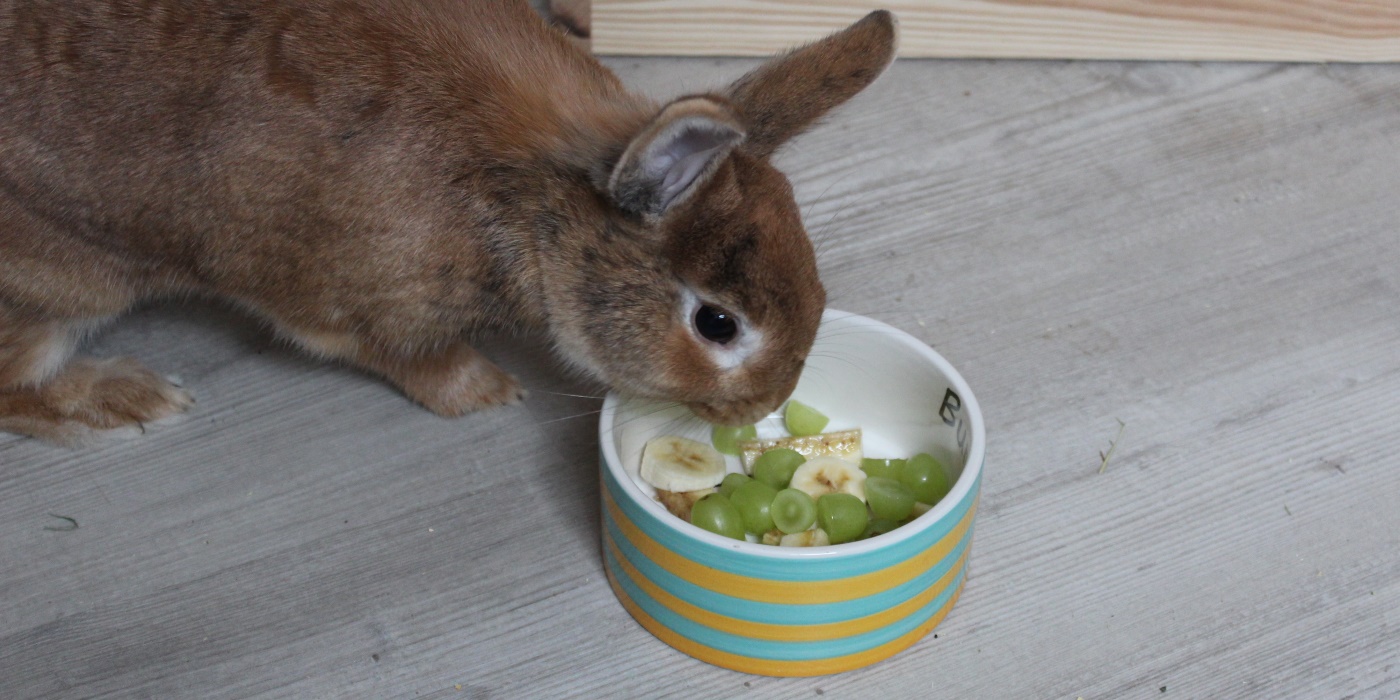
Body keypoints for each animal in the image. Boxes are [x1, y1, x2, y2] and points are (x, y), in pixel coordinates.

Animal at [0, 0, 897, 444]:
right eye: (717, 324)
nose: (764, 408)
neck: (536, 204)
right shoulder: (360, 307)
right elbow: (408, 358)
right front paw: (490, 394)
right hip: (66, 282)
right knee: (16, 386)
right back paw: (130, 399)